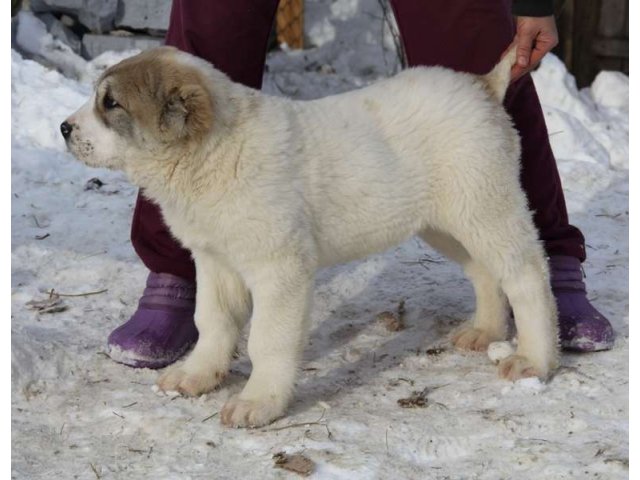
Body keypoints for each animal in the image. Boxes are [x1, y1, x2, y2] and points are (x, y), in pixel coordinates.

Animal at [62, 47, 556, 426]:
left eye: (111, 104)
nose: (65, 128)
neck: (214, 152)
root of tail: (481, 86)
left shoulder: (280, 269)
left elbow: (267, 339)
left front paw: (258, 401)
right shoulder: (215, 261)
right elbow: (212, 321)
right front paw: (198, 375)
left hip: (486, 207)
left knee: (528, 276)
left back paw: (535, 359)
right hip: (449, 224)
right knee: (486, 272)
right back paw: (485, 330)